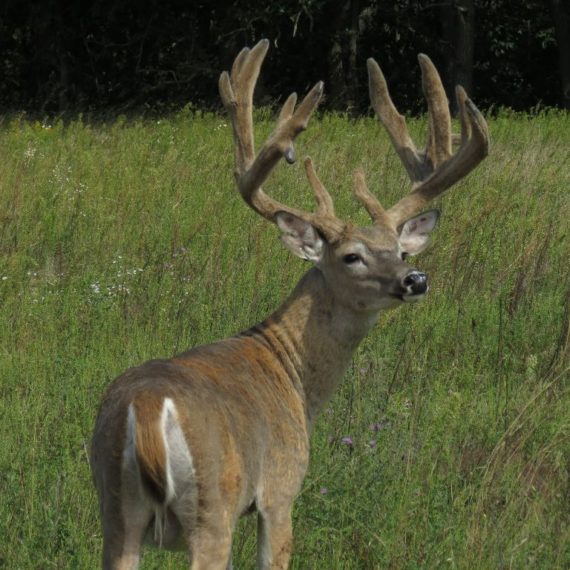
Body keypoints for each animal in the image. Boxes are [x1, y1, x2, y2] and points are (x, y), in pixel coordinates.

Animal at [91, 38, 486, 568]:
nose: (415, 279)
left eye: (401, 251)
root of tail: (149, 410)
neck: (293, 373)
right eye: (351, 256)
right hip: (213, 505)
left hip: (115, 510)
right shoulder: (280, 488)